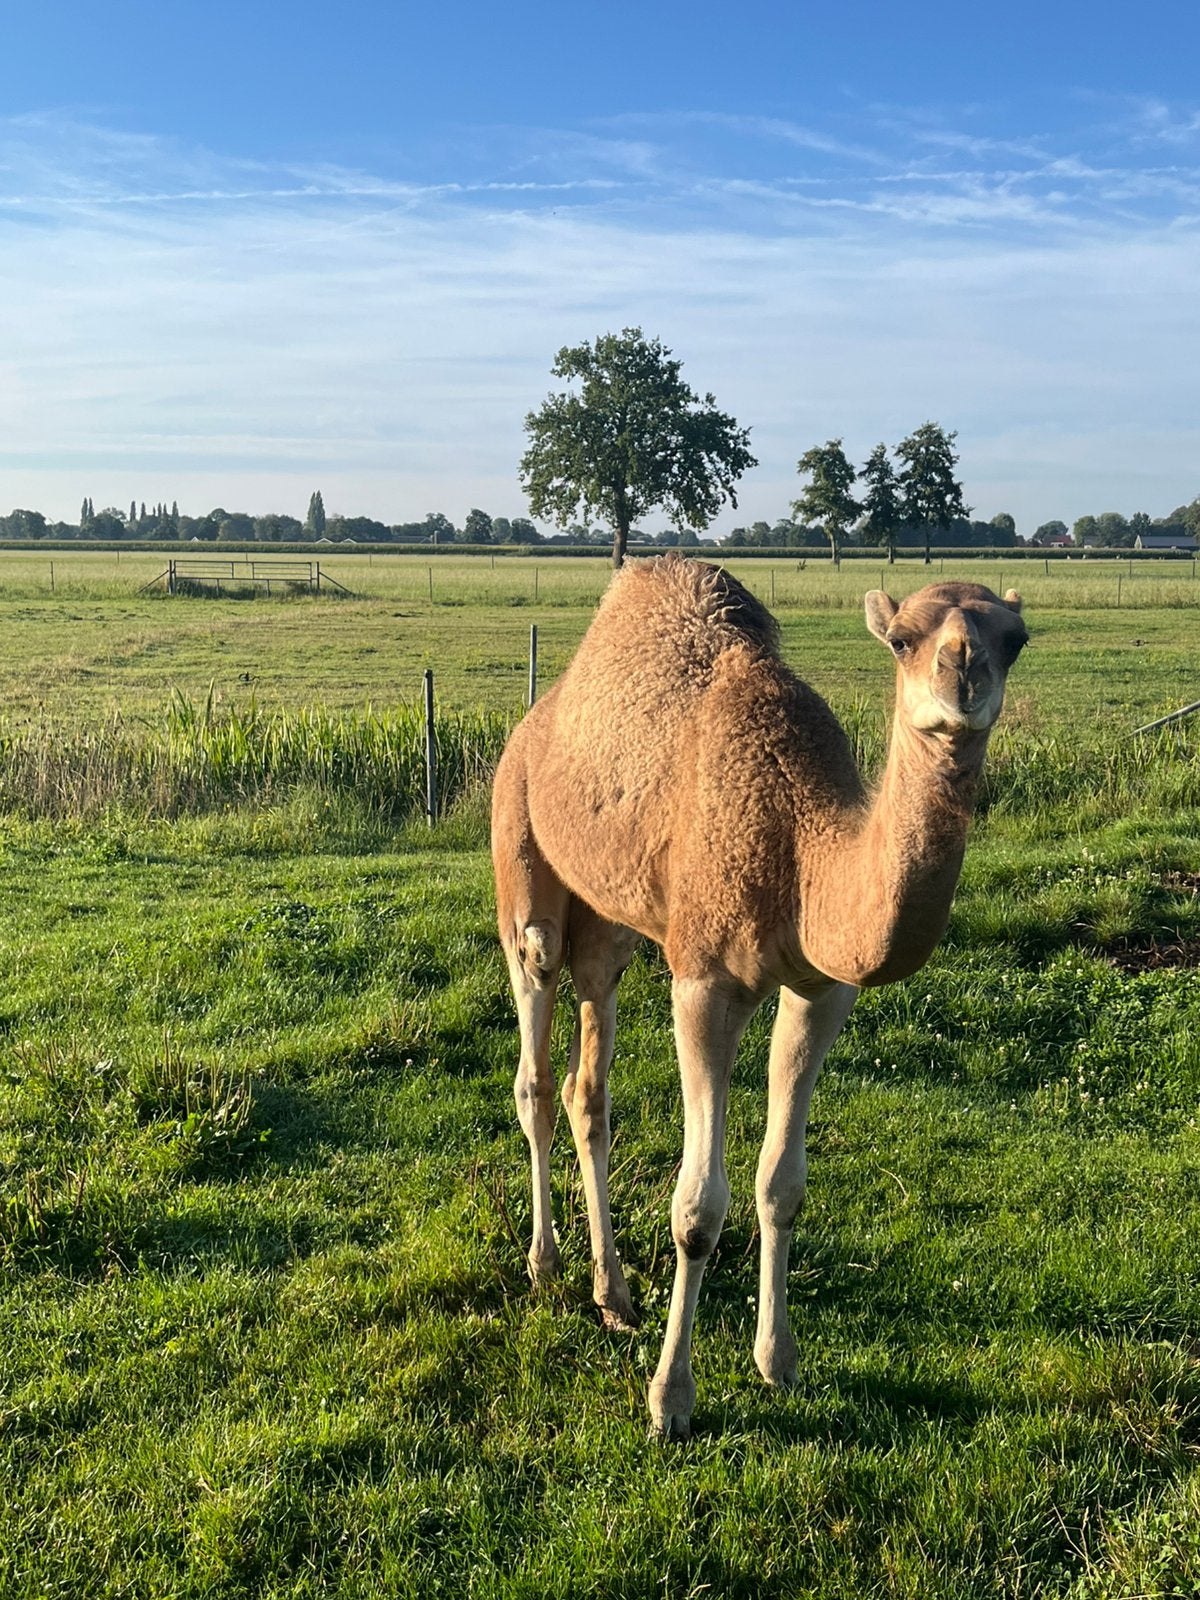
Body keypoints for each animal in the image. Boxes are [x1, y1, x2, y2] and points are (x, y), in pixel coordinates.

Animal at [491, 556, 1027, 1439]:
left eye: (1015, 638)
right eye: (902, 638)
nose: (965, 673)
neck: (802, 848)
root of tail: (539, 715)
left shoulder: (822, 990)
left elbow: (782, 1186)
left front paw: (779, 1363)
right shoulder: (706, 980)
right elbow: (698, 1208)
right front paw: (671, 1400)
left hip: (611, 924)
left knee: (587, 1083)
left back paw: (614, 1295)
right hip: (522, 863)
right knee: (534, 1057)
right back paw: (544, 1265)